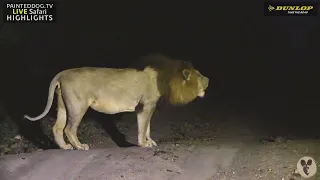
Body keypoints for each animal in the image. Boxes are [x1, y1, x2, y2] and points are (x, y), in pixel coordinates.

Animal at [25, 54, 210, 150]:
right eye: (200, 75)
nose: (208, 79)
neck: (167, 78)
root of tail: (62, 73)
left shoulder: (145, 107)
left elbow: (147, 127)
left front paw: (149, 141)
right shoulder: (147, 105)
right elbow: (143, 126)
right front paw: (143, 144)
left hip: (63, 105)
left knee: (56, 128)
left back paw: (65, 147)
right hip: (78, 106)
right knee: (69, 128)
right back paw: (80, 146)